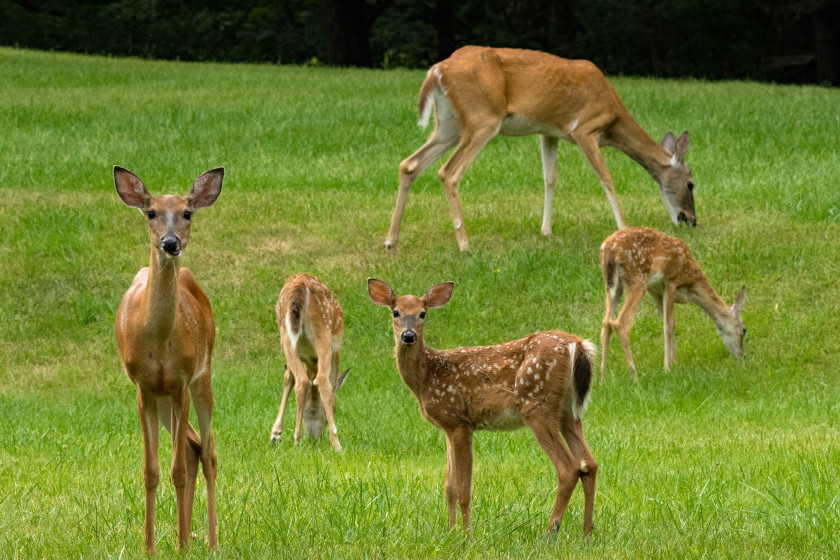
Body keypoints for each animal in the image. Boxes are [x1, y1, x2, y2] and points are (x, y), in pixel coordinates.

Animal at [113, 166, 222, 555]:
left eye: (187, 213)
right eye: (151, 212)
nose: (170, 242)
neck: (158, 344)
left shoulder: (180, 382)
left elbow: (176, 470)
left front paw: (180, 545)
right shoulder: (144, 387)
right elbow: (151, 472)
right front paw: (148, 548)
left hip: (203, 377)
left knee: (207, 454)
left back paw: (208, 542)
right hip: (163, 402)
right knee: (193, 447)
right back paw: (186, 538)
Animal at [270, 273, 350, 451]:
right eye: (335, 408)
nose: (314, 438)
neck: (311, 363)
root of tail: (299, 284)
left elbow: (288, 379)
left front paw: (276, 433)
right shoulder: (336, 351)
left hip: (285, 335)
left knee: (302, 381)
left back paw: (297, 440)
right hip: (323, 330)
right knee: (322, 380)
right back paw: (337, 444)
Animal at [367, 278, 598, 538]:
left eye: (422, 313)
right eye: (396, 312)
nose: (408, 336)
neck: (426, 377)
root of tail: (579, 345)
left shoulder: (460, 422)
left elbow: (464, 488)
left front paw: (467, 536)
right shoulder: (448, 426)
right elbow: (449, 486)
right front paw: (451, 533)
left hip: (537, 404)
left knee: (569, 467)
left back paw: (550, 533)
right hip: (569, 412)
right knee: (589, 464)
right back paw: (587, 533)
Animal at [384, 45, 697, 252]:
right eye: (691, 184)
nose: (692, 221)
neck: (613, 117)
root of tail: (436, 71)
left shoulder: (549, 131)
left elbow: (550, 178)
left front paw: (546, 231)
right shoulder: (584, 129)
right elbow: (606, 178)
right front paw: (624, 228)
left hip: (449, 124)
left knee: (409, 164)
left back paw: (391, 240)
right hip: (482, 118)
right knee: (448, 172)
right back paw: (464, 244)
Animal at [599, 226, 746, 382]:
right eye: (744, 330)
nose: (742, 356)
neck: (691, 283)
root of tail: (609, 248)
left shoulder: (655, 291)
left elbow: (670, 323)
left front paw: (674, 363)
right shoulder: (671, 282)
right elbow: (668, 326)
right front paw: (667, 368)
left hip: (612, 285)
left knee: (606, 323)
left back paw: (603, 378)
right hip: (638, 279)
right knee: (621, 323)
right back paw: (635, 377)